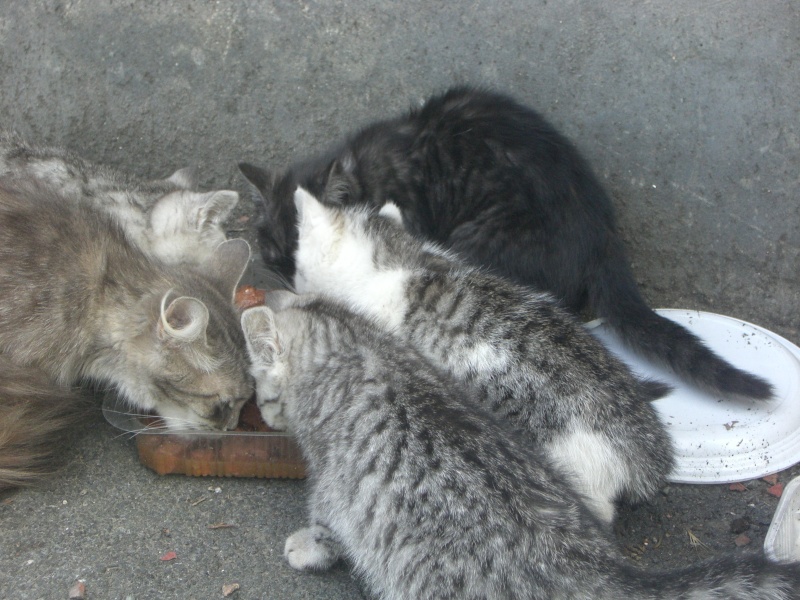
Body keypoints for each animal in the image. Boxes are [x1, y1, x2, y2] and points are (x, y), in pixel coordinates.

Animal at [242, 294, 800, 600]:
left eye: (260, 390)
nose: (263, 415)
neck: (357, 346)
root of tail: (589, 564)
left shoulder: (337, 483)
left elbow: (328, 519)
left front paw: (310, 546)